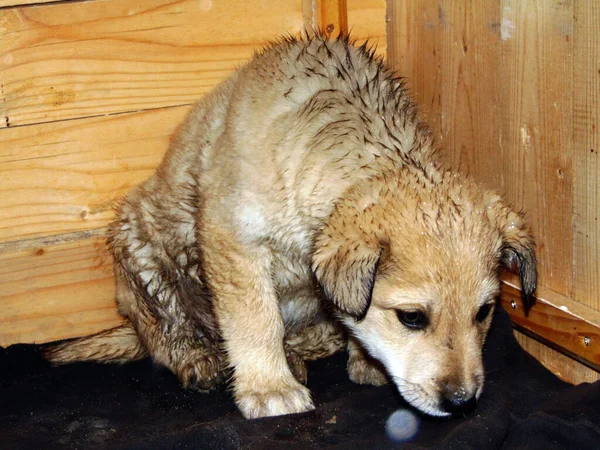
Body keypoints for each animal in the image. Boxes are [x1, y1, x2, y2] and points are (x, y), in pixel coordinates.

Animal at [44, 34, 536, 418]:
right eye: (412, 317)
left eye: (484, 312)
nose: (462, 403)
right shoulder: (233, 241)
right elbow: (254, 320)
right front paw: (268, 387)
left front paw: (363, 360)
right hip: (141, 247)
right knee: (166, 328)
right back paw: (201, 358)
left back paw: (297, 355)